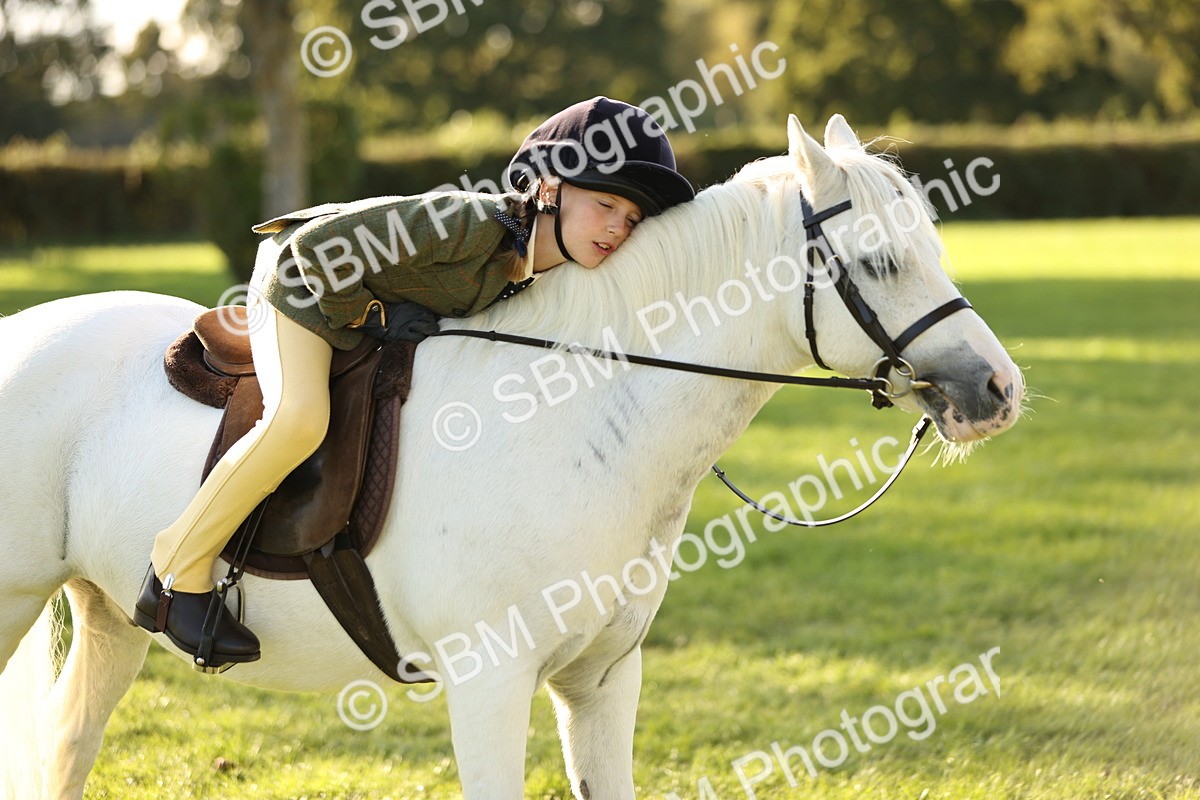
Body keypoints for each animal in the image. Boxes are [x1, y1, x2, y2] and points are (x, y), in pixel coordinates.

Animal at [0, 114, 1023, 799]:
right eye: (883, 262)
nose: (998, 391)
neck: (574, 414)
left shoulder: (601, 681)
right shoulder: (488, 685)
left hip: (109, 615)